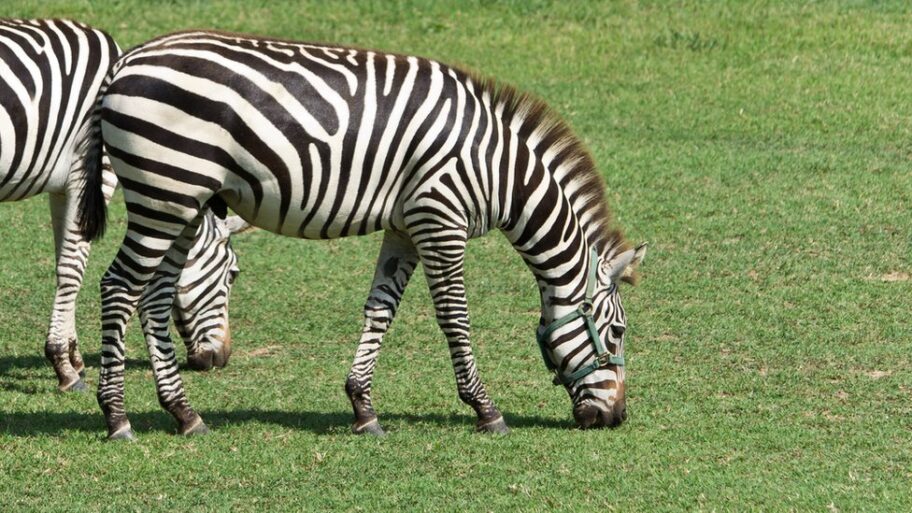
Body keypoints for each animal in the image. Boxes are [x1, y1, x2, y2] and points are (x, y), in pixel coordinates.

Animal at [0, 19, 244, 391]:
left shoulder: (64, 187)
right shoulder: (91, 172)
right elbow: (72, 270)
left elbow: (63, 262)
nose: (220, 359)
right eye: (232, 274)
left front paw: (73, 356)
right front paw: (63, 366)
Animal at [77, 30, 646, 439]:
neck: (499, 170)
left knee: (153, 297)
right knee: (118, 287)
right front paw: (486, 409)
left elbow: (380, 310)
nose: (616, 418)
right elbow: (454, 319)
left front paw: (363, 407)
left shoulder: (405, 227)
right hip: (165, 193)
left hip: (182, 203)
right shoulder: (441, 221)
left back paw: (184, 414)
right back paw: (117, 418)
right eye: (617, 332)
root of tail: (125, 66)